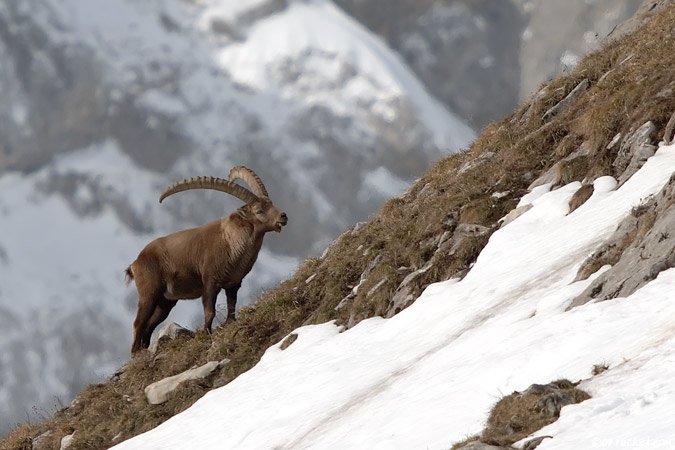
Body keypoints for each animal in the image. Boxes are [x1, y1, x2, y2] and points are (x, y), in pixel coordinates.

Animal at [125, 166, 287, 353]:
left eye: (271, 204)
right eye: (259, 211)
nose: (283, 216)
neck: (231, 241)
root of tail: (136, 263)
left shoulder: (233, 283)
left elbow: (232, 306)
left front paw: (229, 323)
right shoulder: (210, 281)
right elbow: (210, 311)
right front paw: (206, 333)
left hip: (166, 301)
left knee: (150, 325)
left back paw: (144, 350)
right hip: (149, 294)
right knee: (138, 323)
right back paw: (135, 353)